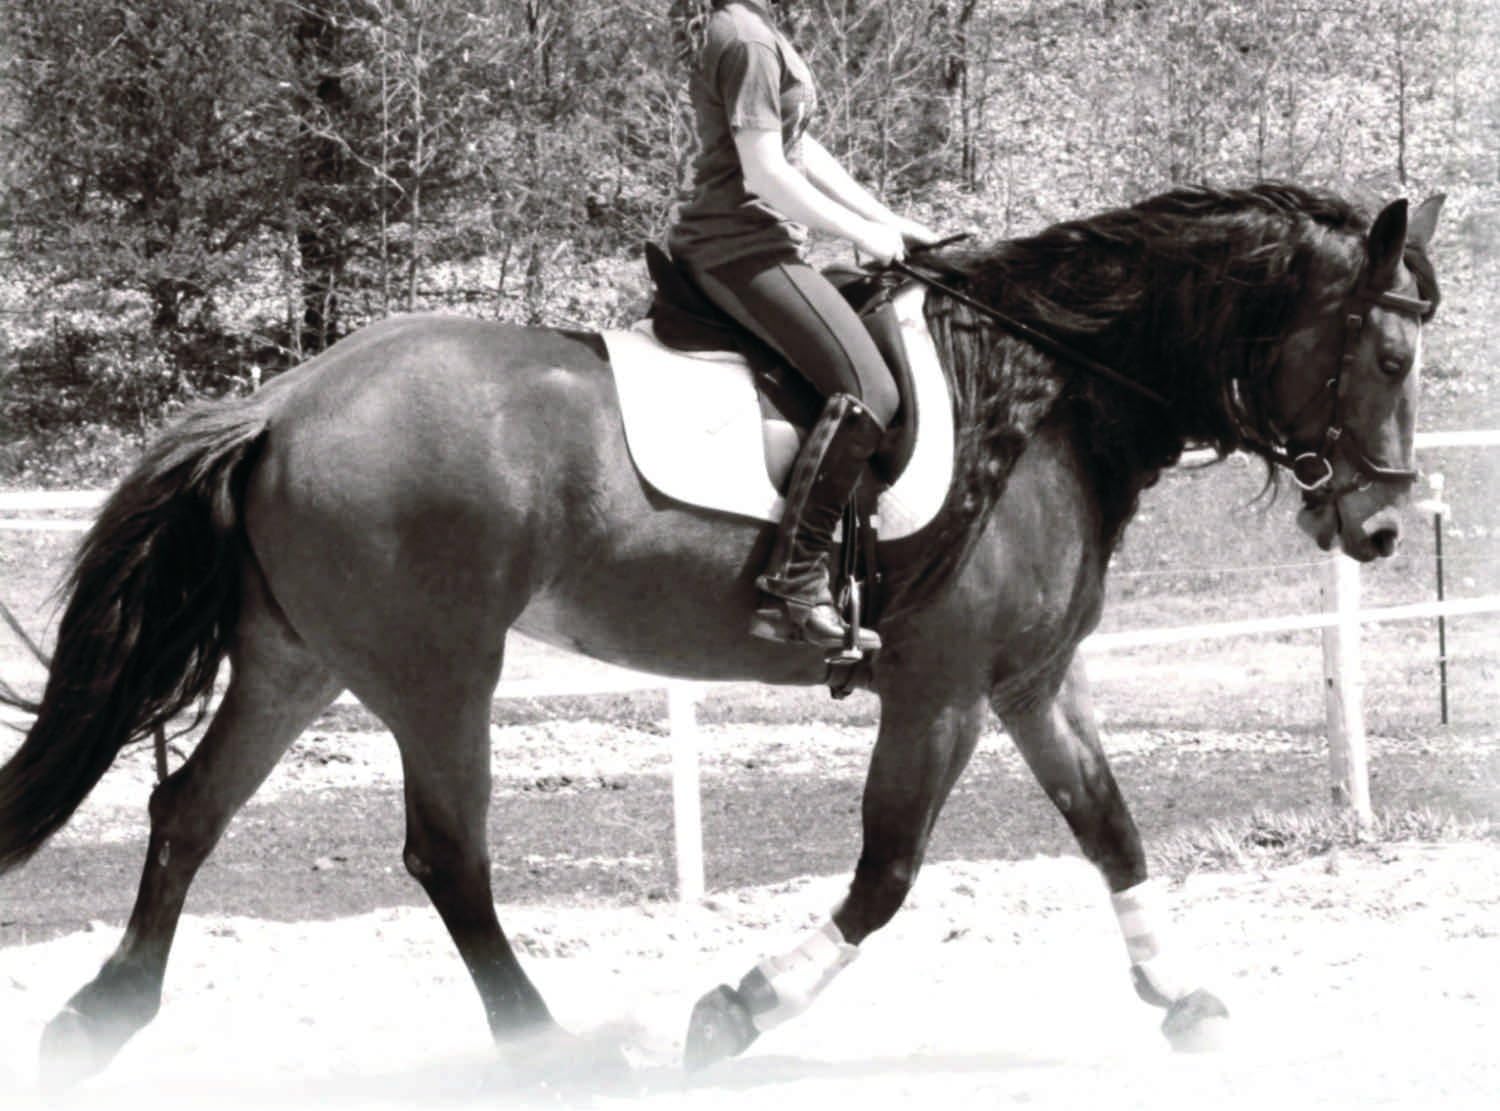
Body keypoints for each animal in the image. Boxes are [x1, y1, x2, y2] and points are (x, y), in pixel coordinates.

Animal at [0, 183, 1443, 1088]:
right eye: (1388, 357)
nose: (1381, 526)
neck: (1046, 396)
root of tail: (283, 400)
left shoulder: (1031, 680)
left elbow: (1112, 828)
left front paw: (1186, 999)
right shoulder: (940, 690)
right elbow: (888, 873)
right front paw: (735, 1010)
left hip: (301, 658)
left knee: (189, 807)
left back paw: (99, 1018)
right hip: (438, 667)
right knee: (445, 852)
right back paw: (554, 1045)